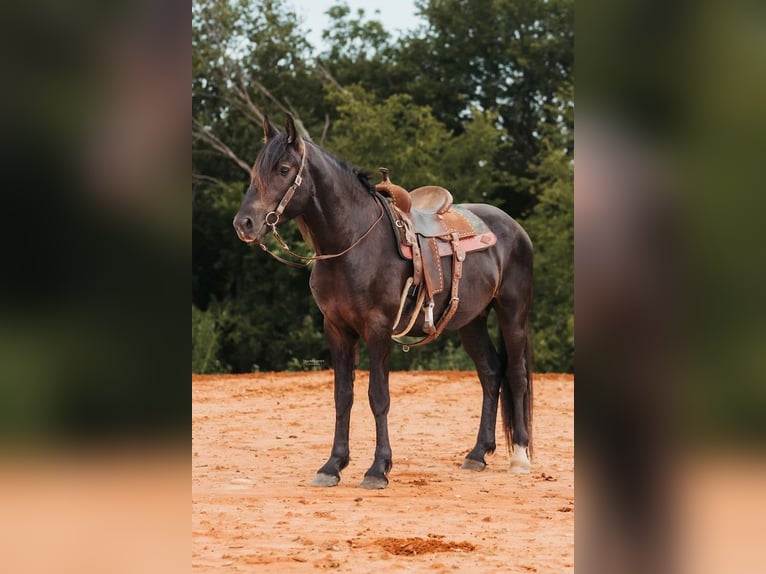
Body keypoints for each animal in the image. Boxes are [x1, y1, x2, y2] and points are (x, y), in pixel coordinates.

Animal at [233, 114, 534, 489]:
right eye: (256, 170)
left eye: (284, 169)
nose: (244, 224)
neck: (353, 244)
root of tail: (514, 228)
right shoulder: (336, 329)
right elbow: (342, 396)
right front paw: (332, 465)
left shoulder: (377, 328)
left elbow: (378, 396)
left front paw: (378, 469)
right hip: (471, 321)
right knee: (491, 372)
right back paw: (478, 454)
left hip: (512, 312)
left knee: (517, 374)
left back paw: (520, 456)